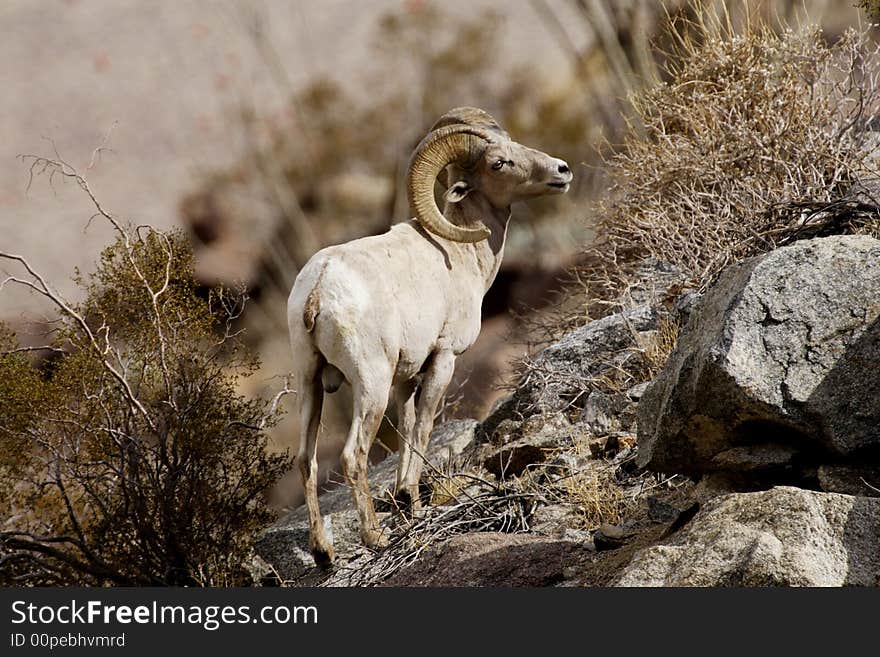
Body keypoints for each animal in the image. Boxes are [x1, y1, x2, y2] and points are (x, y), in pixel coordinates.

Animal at [288, 107, 576, 564]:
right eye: (498, 163)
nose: (561, 171)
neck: (460, 256)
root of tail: (319, 289)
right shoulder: (443, 359)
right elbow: (423, 426)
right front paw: (412, 500)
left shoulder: (406, 377)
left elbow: (407, 430)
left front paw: (406, 503)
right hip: (370, 384)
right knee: (354, 455)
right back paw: (374, 538)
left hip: (309, 382)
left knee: (306, 459)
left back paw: (323, 554)